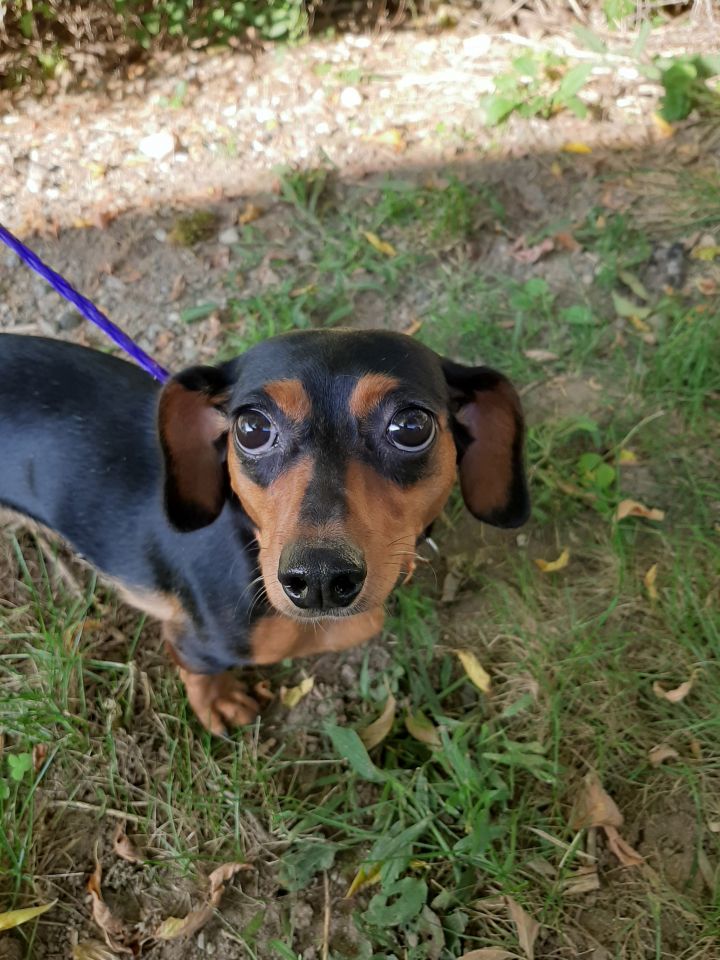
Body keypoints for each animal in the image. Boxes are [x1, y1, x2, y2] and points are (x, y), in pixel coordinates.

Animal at [0, 332, 528, 736]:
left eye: (412, 425)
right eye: (251, 427)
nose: (319, 579)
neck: (246, 538)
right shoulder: (194, 640)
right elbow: (197, 669)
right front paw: (218, 702)